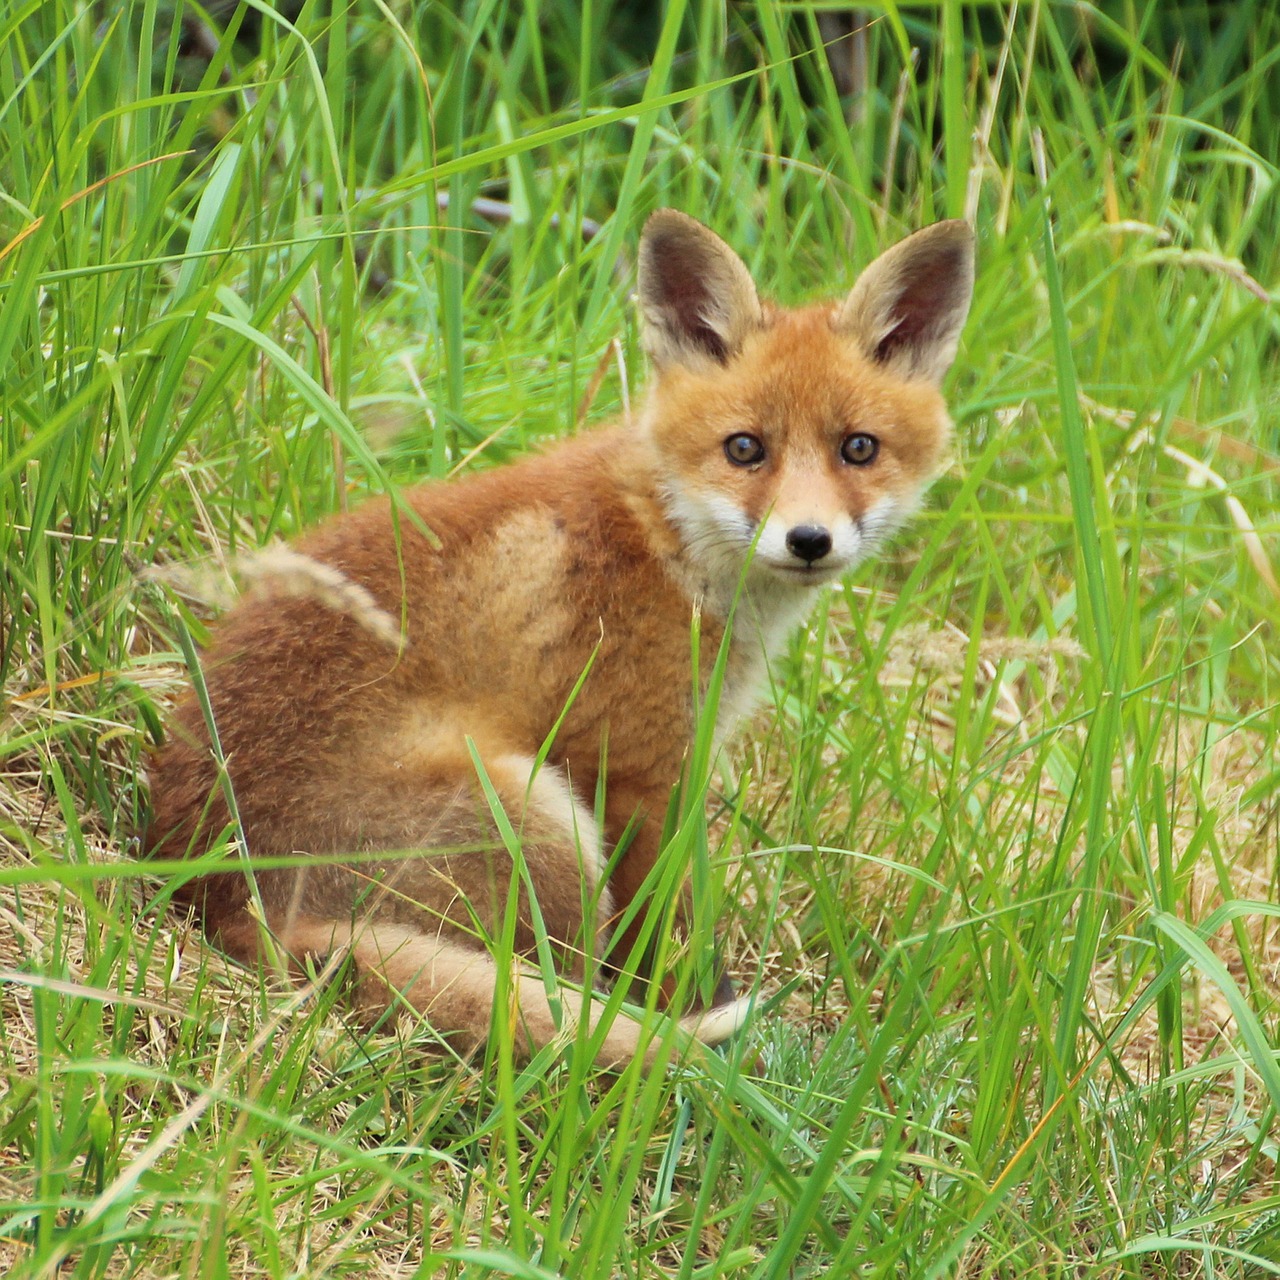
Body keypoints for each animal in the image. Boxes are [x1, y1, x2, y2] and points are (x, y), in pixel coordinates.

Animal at [145, 207, 972, 1070]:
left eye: (858, 448)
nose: (809, 540)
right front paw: (682, 1008)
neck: (665, 539)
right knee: (563, 987)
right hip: (541, 816)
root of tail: (230, 902)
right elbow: (659, 934)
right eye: (745, 448)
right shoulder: (634, 771)